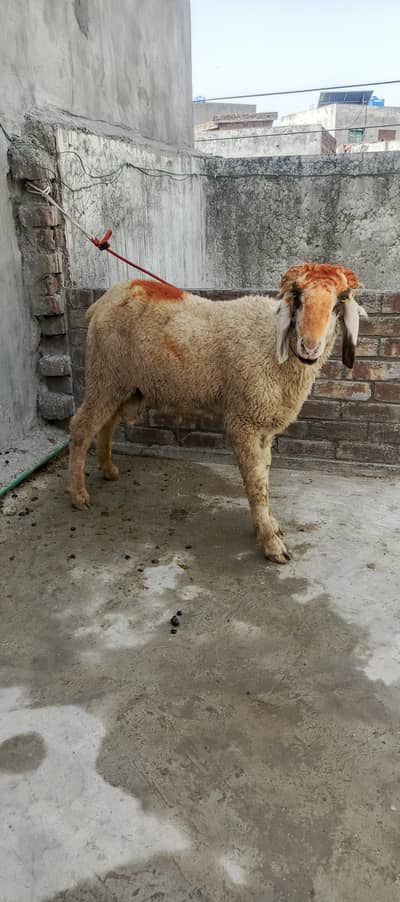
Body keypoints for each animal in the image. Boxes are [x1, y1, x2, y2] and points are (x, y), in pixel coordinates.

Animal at [68, 261, 367, 563]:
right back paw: (79, 495)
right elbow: (255, 482)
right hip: (105, 373)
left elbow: (264, 476)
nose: (310, 346)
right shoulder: (244, 420)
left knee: (107, 423)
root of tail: (105, 300)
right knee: (81, 427)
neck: (272, 344)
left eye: (337, 304)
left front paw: (270, 525)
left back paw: (108, 469)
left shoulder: (263, 426)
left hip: (124, 383)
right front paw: (272, 544)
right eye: (299, 298)